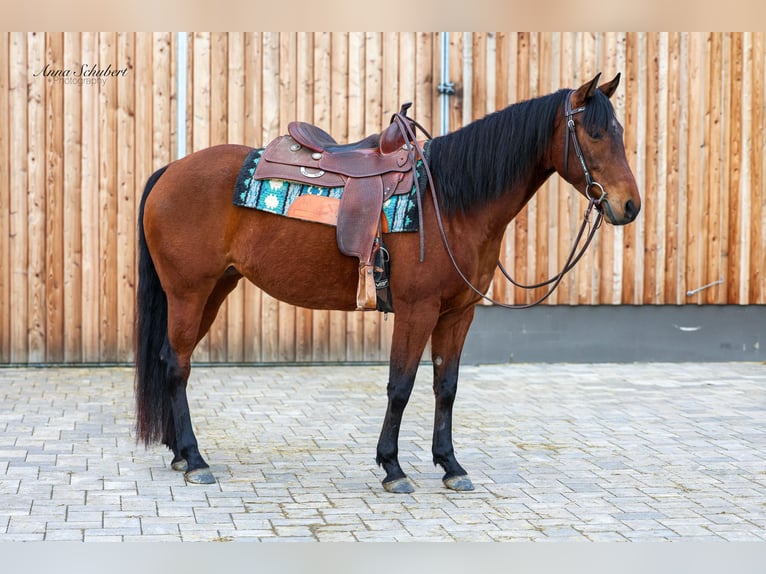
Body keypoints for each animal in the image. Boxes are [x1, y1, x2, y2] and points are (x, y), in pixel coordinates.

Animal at [135, 73, 641, 493]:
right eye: (595, 134)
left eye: (620, 132)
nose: (630, 206)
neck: (449, 202)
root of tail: (170, 171)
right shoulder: (418, 309)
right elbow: (401, 385)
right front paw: (393, 468)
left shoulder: (458, 313)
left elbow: (446, 387)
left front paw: (451, 466)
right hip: (189, 292)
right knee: (177, 365)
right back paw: (196, 459)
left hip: (214, 291)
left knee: (169, 360)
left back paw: (180, 454)